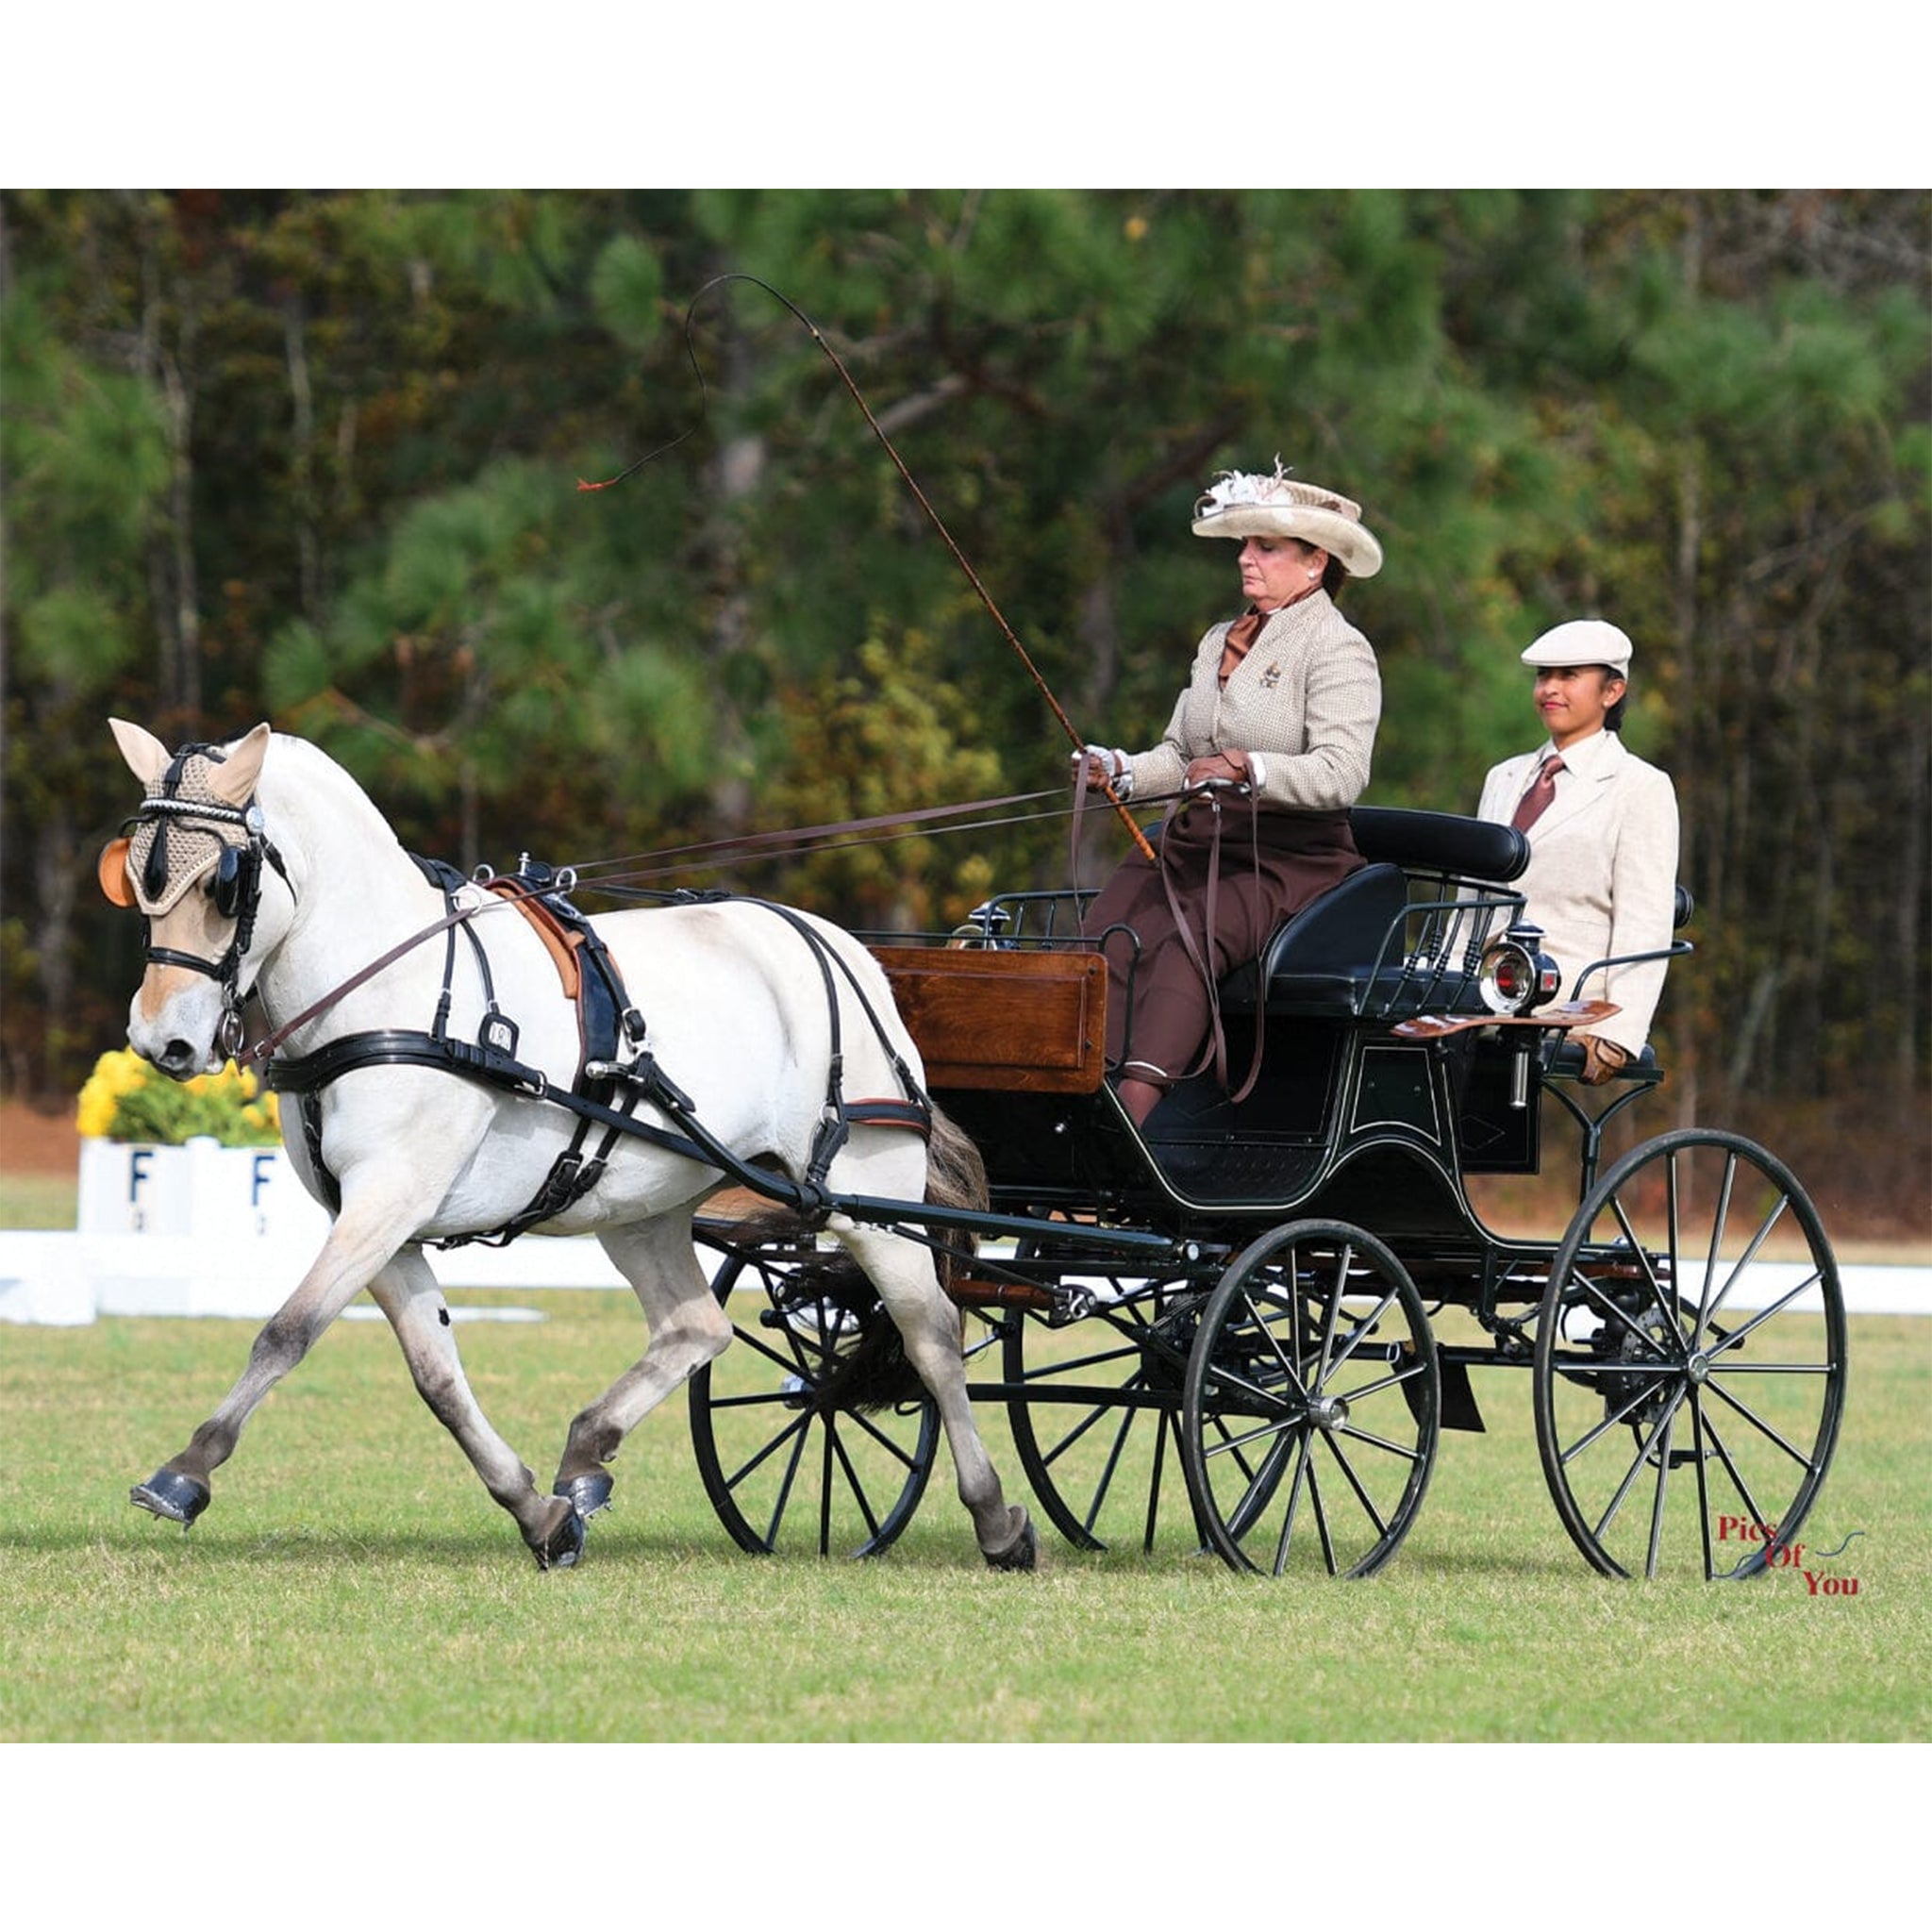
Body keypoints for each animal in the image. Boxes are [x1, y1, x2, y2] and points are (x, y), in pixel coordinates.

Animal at [97, 722, 1035, 1568]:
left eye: (224, 883)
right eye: (135, 873)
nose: (160, 1042)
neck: (390, 987)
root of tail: (840, 947)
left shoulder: (389, 1194)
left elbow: (289, 1330)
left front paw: (185, 1472)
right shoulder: (379, 1216)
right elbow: (436, 1374)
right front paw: (538, 1513)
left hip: (870, 1202)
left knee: (931, 1336)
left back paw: (998, 1520)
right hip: (642, 1205)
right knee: (697, 1327)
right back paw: (587, 1453)